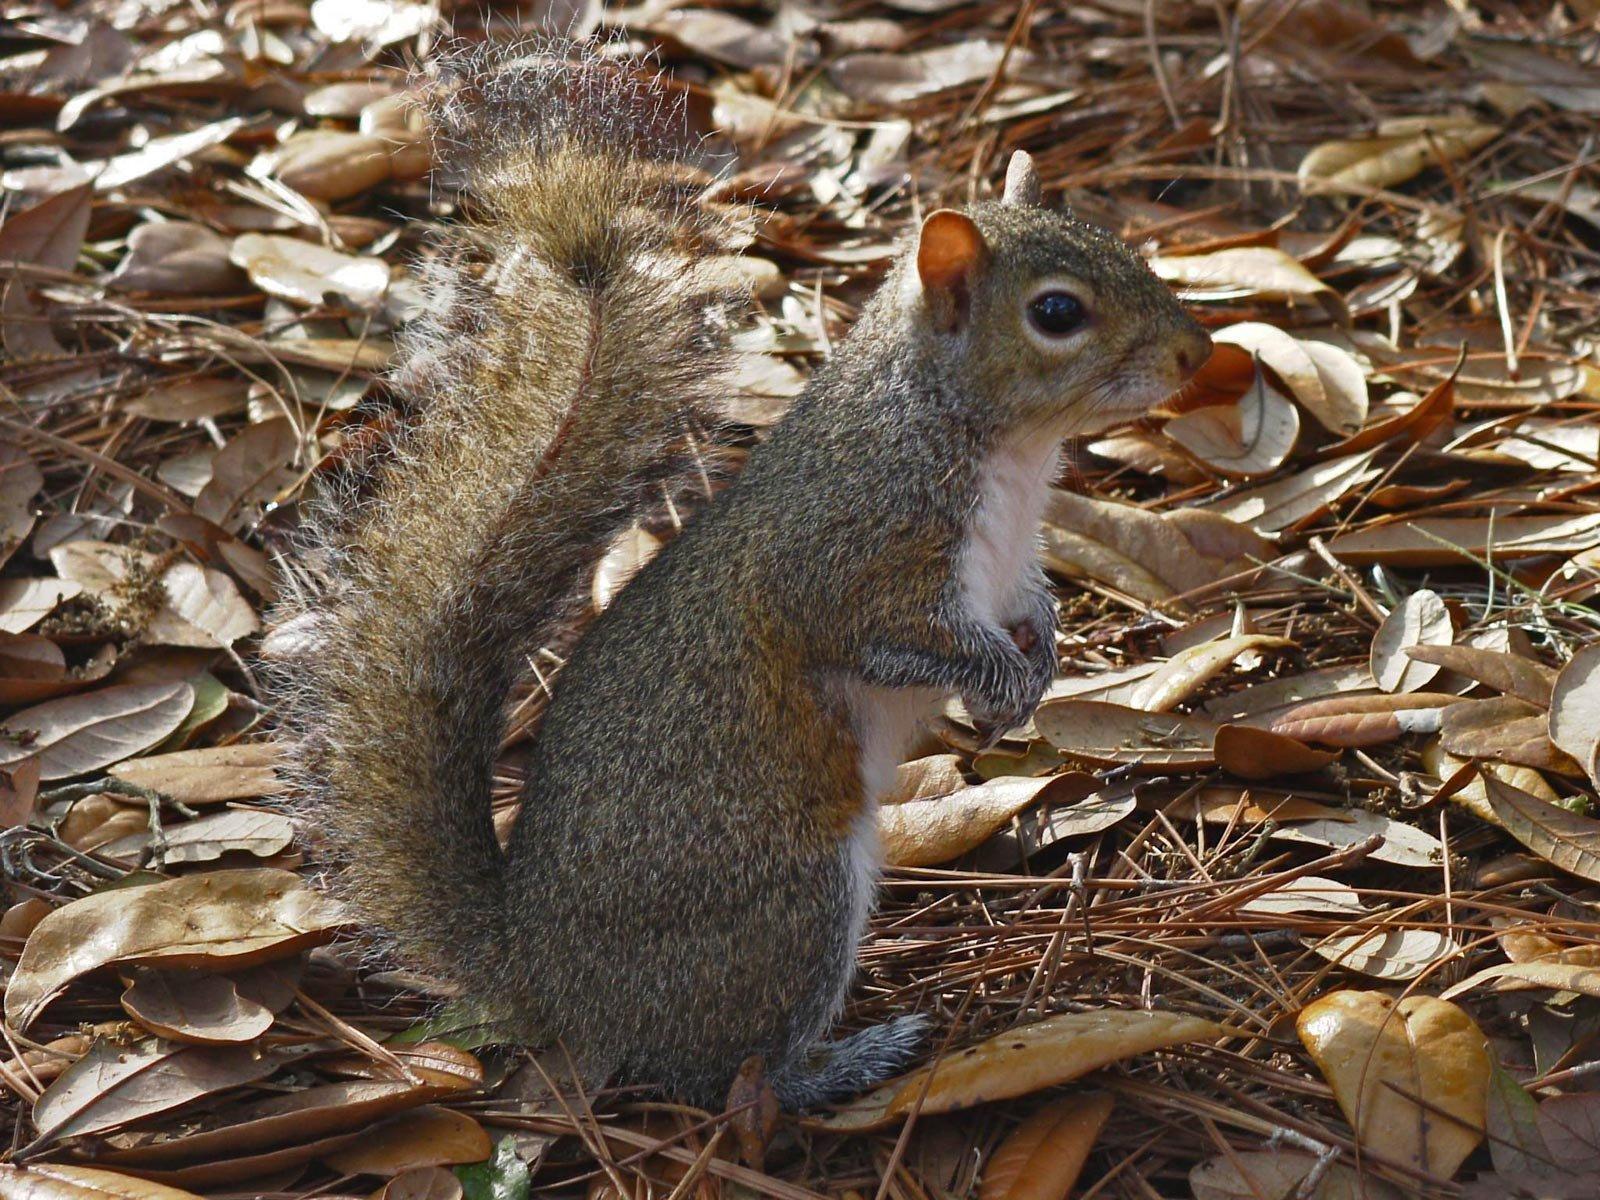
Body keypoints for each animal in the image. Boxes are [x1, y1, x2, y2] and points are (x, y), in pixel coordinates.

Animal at [265, 42, 1212, 1110]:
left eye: (1122, 244)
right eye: (1056, 313)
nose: (1198, 351)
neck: (992, 447)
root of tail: (547, 980)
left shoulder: (1007, 564)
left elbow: (1027, 603)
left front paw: (1041, 658)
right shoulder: (847, 557)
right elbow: (877, 638)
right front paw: (999, 684)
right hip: (787, 905)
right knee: (734, 1074)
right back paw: (847, 1061)